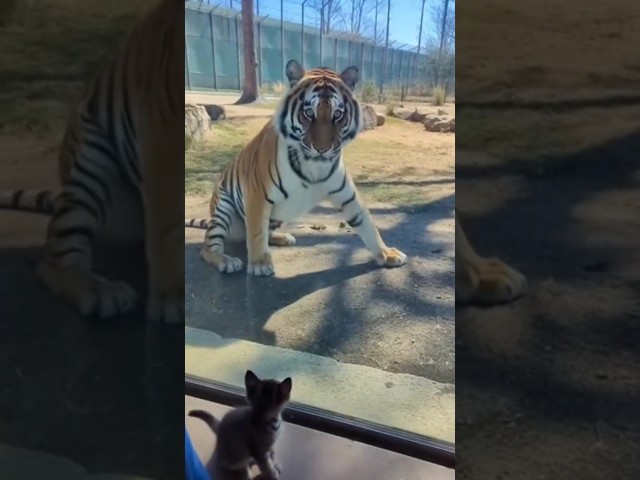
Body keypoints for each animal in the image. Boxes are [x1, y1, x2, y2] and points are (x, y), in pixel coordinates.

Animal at [0, 0, 183, 324]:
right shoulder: (165, 118)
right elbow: (168, 225)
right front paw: (171, 300)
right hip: (89, 169)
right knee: (52, 261)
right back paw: (102, 292)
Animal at [186, 59, 407, 276]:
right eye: (308, 113)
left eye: (337, 114)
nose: (322, 148)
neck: (314, 167)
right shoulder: (257, 193)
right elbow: (256, 232)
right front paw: (259, 265)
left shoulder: (347, 195)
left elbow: (367, 223)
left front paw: (387, 254)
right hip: (222, 210)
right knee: (209, 247)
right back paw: (227, 261)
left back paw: (283, 237)